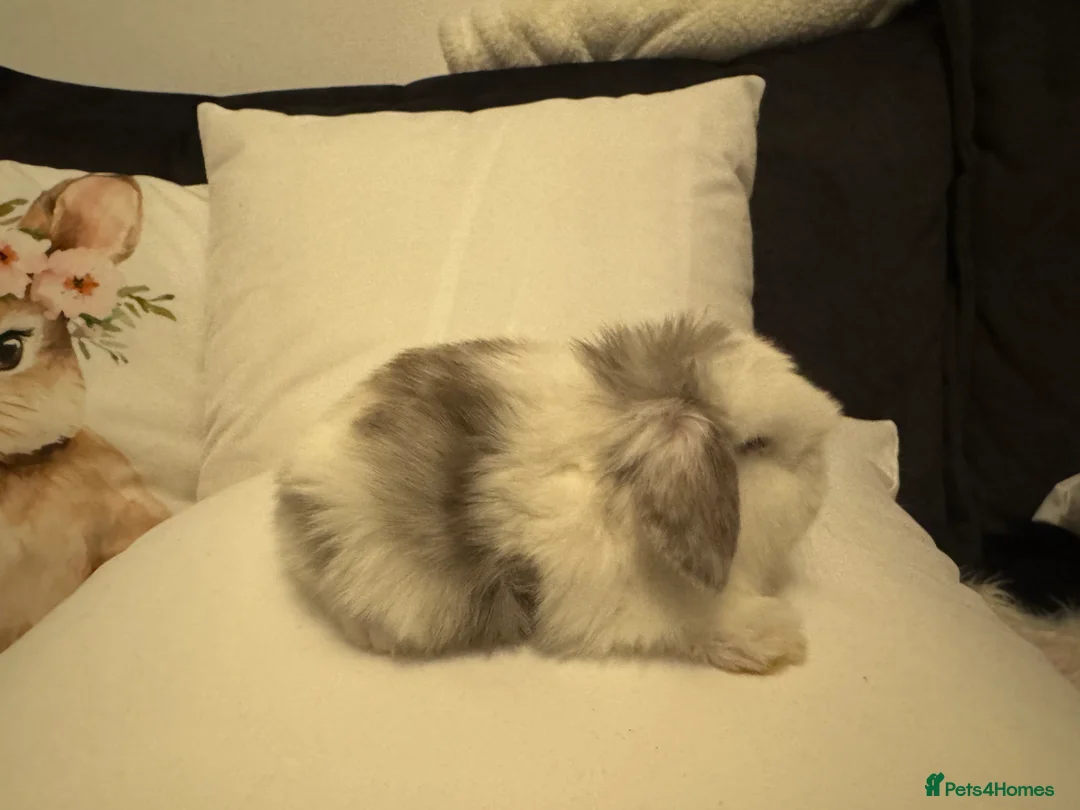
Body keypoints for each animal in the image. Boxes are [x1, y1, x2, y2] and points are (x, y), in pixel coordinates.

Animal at [275, 313, 842, 673]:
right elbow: (697, 624)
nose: (821, 480)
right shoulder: (631, 609)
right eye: (756, 445)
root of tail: (292, 479)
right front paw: (777, 641)